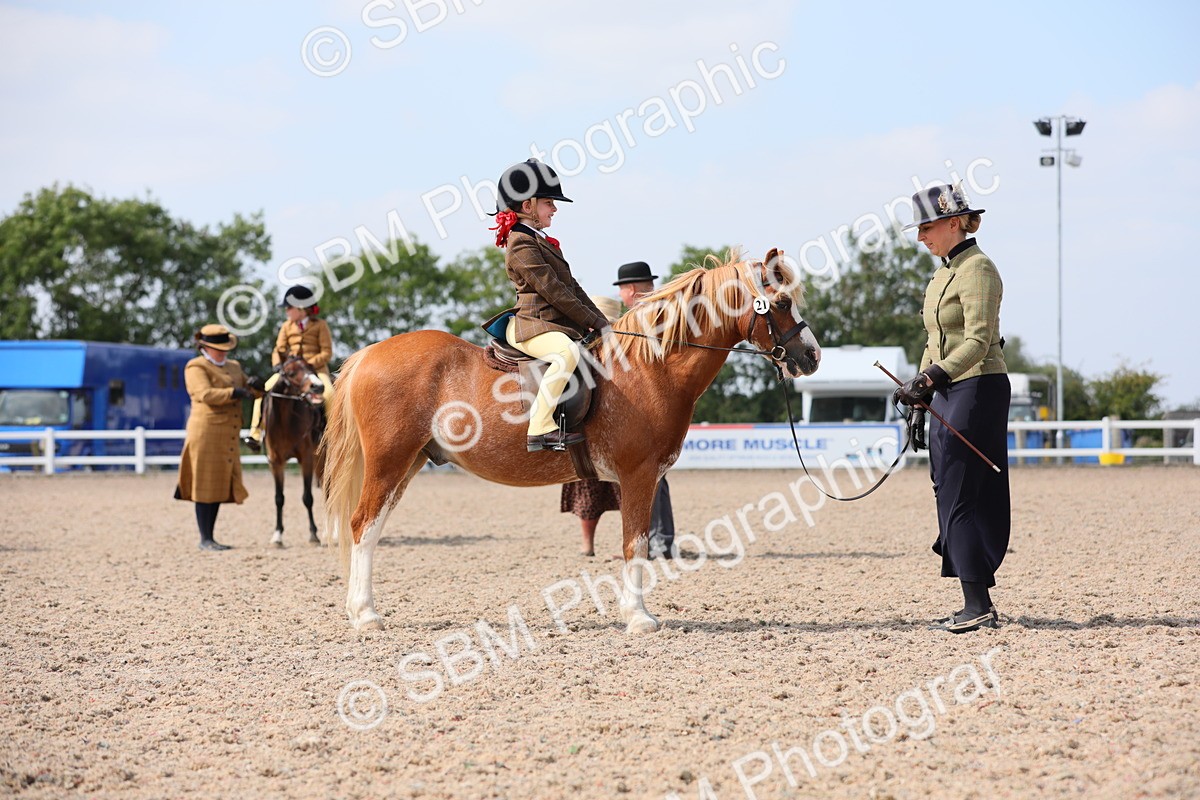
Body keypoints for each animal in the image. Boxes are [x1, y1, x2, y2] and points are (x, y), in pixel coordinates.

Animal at [263, 354, 326, 546]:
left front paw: (313, 534)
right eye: (290, 373)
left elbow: (307, 498)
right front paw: (277, 535)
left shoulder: (306, 459)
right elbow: (279, 498)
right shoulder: (275, 462)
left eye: (311, 367)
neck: (285, 421)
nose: (318, 386)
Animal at [319, 249, 821, 633]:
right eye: (780, 302)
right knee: (363, 526)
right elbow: (635, 544)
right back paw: (365, 616)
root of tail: (369, 354)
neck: (649, 366)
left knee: (372, 528)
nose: (811, 356)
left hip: (407, 464)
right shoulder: (638, 476)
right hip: (389, 461)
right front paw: (639, 618)